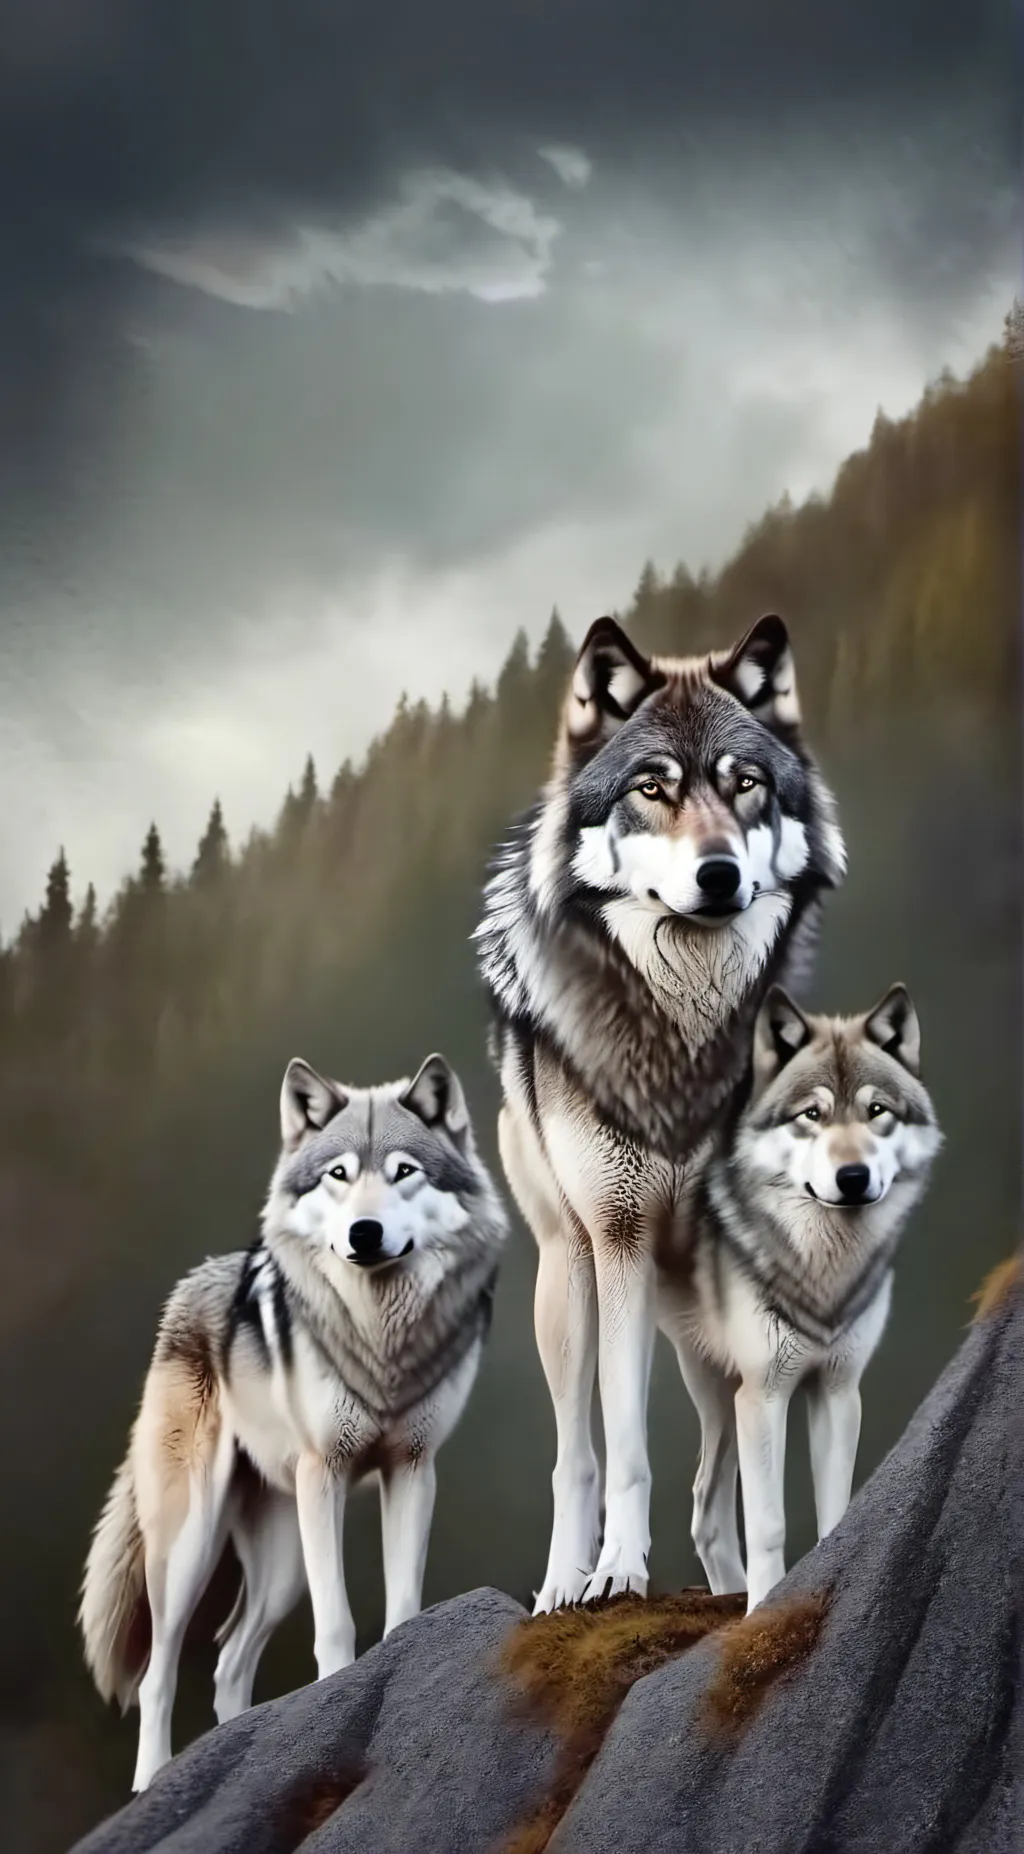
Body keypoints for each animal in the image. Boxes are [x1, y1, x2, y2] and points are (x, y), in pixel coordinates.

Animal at [79, 1052, 507, 1793]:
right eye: (338, 1174)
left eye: (404, 1171)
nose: (364, 1233)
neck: (380, 1341)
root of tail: (194, 1281)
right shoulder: (326, 1472)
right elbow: (335, 1623)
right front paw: (337, 1694)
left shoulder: (412, 1469)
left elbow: (403, 1597)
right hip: (192, 1546)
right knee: (160, 1672)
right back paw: (151, 1781)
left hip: (279, 1567)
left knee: (227, 1660)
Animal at [475, 613, 846, 1613]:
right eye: (654, 788)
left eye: (744, 783)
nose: (718, 875)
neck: (683, 1034)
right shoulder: (620, 1236)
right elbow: (625, 1444)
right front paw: (615, 1574)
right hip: (568, 1277)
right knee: (579, 1453)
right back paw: (563, 1582)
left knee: (710, 1495)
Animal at [658, 982, 943, 1612]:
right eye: (812, 1114)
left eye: (876, 1111)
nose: (853, 1177)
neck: (824, 1271)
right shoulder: (765, 1395)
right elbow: (769, 1523)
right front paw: (764, 1610)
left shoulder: (837, 1392)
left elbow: (835, 1513)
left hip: (723, 1401)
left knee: (705, 1509)